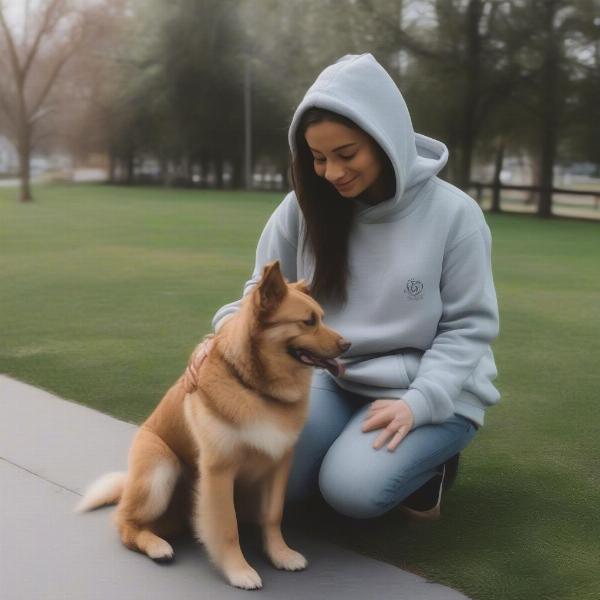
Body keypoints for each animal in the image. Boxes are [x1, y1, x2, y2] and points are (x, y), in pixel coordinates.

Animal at [77, 262, 350, 592]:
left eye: (323, 317)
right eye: (308, 322)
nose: (348, 344)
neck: (255, 388)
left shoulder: (279, 464)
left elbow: (273, 515)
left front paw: (281, 554)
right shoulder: (220, 471)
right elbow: (227, 527)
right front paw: (239, 570)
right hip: (160, 472)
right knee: (125, 523)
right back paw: (157, 546)